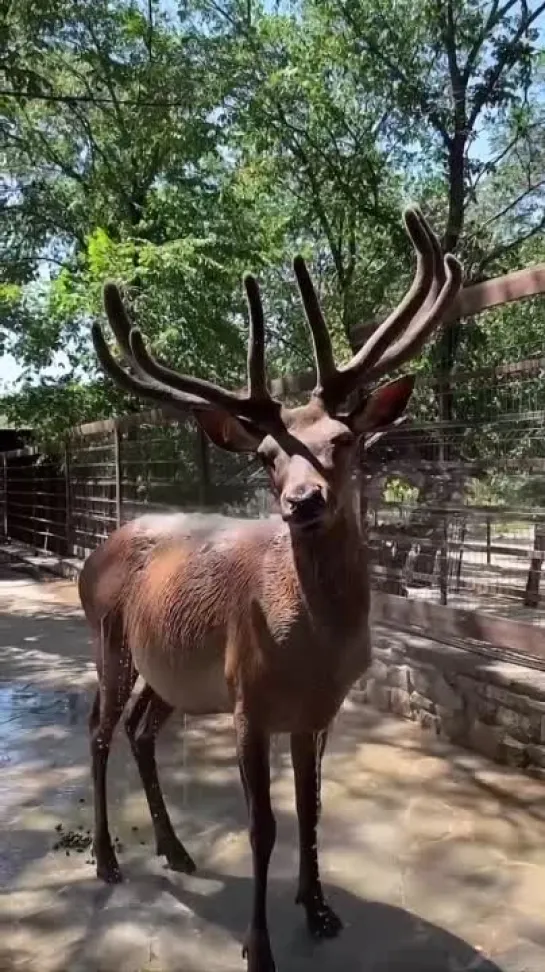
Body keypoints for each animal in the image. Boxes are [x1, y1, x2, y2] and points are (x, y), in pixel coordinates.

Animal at [79, 207, 464, 972]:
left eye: (345, 438)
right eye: (265, 456)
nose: (302, 501)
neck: (313, 650)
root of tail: (91, 554)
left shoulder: (315, 712)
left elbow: (311, 807)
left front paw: (318, 908)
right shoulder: (248, 700)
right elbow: (262, 826)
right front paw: (259, 947)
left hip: (173, 671)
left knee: (138, 729)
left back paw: (175, 848)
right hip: (109, 638)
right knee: (100, 732)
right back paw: (107, 860)